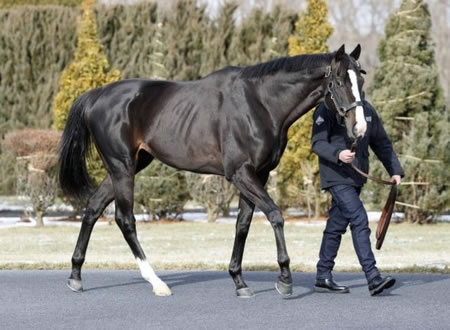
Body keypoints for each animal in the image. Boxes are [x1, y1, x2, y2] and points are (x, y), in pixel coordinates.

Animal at [59, 43, 366, 296]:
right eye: (339, 80)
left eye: (361, 79)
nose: (359, 128)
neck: (260, 103)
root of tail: (96, 95)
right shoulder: (240, 173)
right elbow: (275, 215)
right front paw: (285, 279)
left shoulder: (258, 174)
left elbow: (243, 224)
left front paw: (239, 281)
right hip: (122, 167)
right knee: (125, 219)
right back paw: (157, 283)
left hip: (127, 166)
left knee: (93, 207)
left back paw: (75, 275)